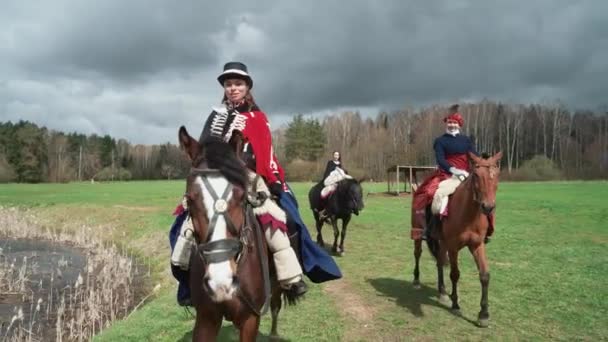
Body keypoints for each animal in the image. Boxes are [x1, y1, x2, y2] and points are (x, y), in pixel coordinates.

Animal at [178, 126, 302, 342]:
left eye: (242, 196)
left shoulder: (250, 320)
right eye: (190, 199)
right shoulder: (206, 319)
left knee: (276, 305)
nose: (221, 282)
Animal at [414, 151, 504, 328]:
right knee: (418, 254)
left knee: (439, 262)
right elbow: (455, 274)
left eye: (496, 175)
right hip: (417, 235)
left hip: (442, 242)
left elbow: (484, 275)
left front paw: (484, 314)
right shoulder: (453, 247)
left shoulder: (477, 245)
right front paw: (455, 305)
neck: (469, 214)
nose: (488, 207)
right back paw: (416, 281)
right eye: (476, 175)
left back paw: (442, 292)